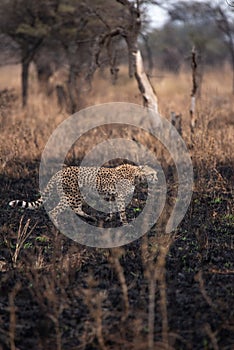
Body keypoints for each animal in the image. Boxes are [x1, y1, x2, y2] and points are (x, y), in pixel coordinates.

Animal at [10, 165, 158, 226]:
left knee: (76, 208)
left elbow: (111, 208)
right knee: (54, 211)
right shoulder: (120, 196)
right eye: (152, 174)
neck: (136, 175)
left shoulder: (112, 195)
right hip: (72, 196)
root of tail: (60, 171)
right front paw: (126, 223)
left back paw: (90, 218)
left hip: (77, 195)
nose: (157, 179)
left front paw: (110, 219)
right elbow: (122, 212)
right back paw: (59, 226)